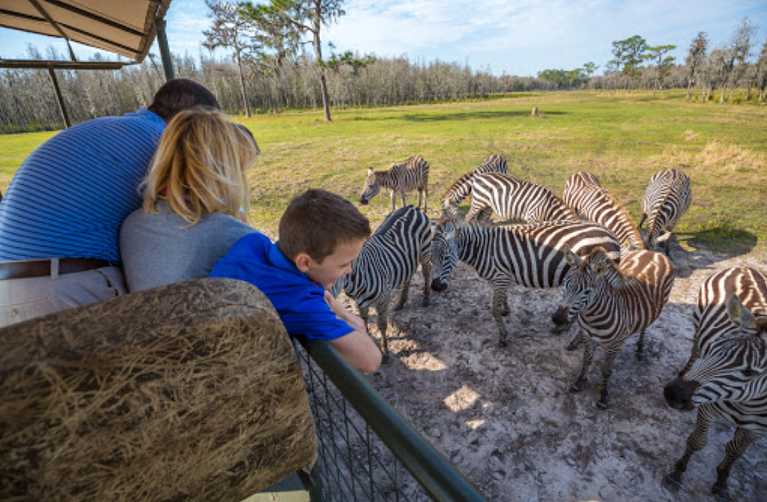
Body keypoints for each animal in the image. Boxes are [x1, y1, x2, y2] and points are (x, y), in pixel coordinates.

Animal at [334, 204, 436, 360]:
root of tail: (411, 207)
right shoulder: (358, 302)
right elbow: (363, 321)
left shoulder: (383, 300)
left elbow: (382, 325)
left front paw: (386, 353)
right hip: (408, 258)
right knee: (408, 276)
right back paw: (400, 303)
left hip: (424, 251)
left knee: (427, 271)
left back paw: (426, 299)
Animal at [428, 222, 620, 348]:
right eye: (431, 257)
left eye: (446, 257)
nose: (435, 287)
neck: (483, 249)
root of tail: (611, 234)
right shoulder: (501, 278)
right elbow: (502, 299)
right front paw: (506, 310)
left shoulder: (501, 277)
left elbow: (494, 309)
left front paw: (503, 337)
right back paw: (564, 327)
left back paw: (573, 340)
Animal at [552, 246, 672, 408]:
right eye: (565, 284)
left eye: (587, 291)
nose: (557, 319)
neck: (592, 318)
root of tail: (653, 252)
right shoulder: (588, 337)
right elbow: (586, 360)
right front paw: (579, 382)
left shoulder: (615, 344)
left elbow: (606, 370)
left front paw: (603, 396)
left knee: (645, 326)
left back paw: (640, 348)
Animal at [664, 268, 764, 496]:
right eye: (715, 348)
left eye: (749, 372)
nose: (673, 393)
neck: (749, 403)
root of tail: (745, 268)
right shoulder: (708, 408)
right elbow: (697, 441)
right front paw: (678, 471)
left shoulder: (757, 430)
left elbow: (735, 451)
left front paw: (722, 480)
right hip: (699, 323)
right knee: (695, 351)